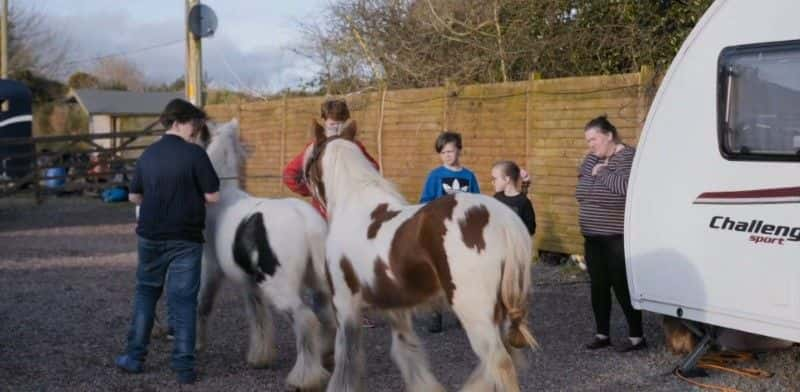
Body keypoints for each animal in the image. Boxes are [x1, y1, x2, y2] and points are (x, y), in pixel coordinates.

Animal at [304, 121, 536, 390]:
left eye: (311, 155)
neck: (355, 208)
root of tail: (504, 220)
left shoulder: (345, 305)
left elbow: (347, 358)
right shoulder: (396, 309)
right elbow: (407, 352)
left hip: (475, 313)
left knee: (499, 362)